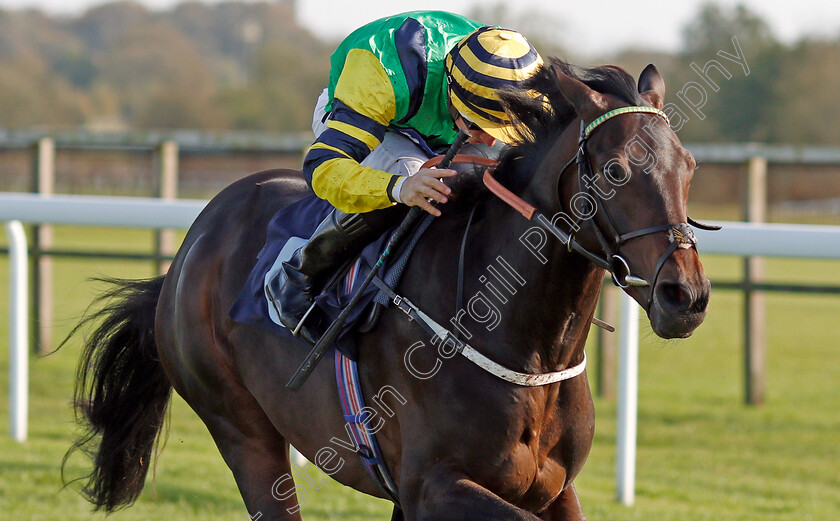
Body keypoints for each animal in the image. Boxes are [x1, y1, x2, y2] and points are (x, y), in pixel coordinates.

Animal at [64, 59, 708, 516]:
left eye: (690, 166)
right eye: (615, 169)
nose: (686, 297)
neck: (526, 346)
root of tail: (188, 250)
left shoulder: (548, 488)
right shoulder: (434, 485)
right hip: (241, 430)